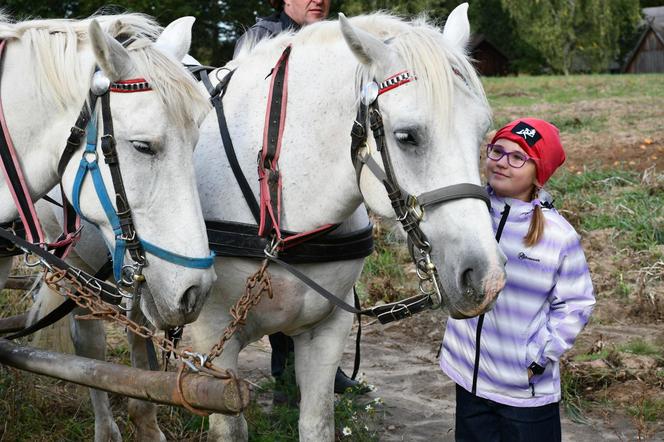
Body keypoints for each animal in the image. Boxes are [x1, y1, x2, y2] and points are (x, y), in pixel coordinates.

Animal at [33, 4, 506, 442]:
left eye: (483, 131)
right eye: (407, 136)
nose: (486, 279)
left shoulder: (326, 332)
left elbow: (317, 423)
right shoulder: (213, 340)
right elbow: (230, 428)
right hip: (82, 272)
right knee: (88, 344)